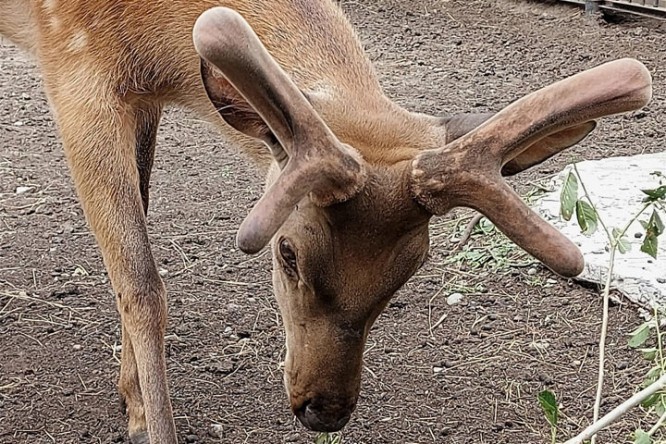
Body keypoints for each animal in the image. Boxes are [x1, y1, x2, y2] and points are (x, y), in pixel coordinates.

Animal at [0, 0, 652, 442]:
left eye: (412, 266)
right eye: (286, 251)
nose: (325, 411)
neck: (152, 45)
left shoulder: (137, 98)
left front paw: (128, 397)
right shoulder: (76, 69)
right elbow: (140, 281)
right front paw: (151, 427)